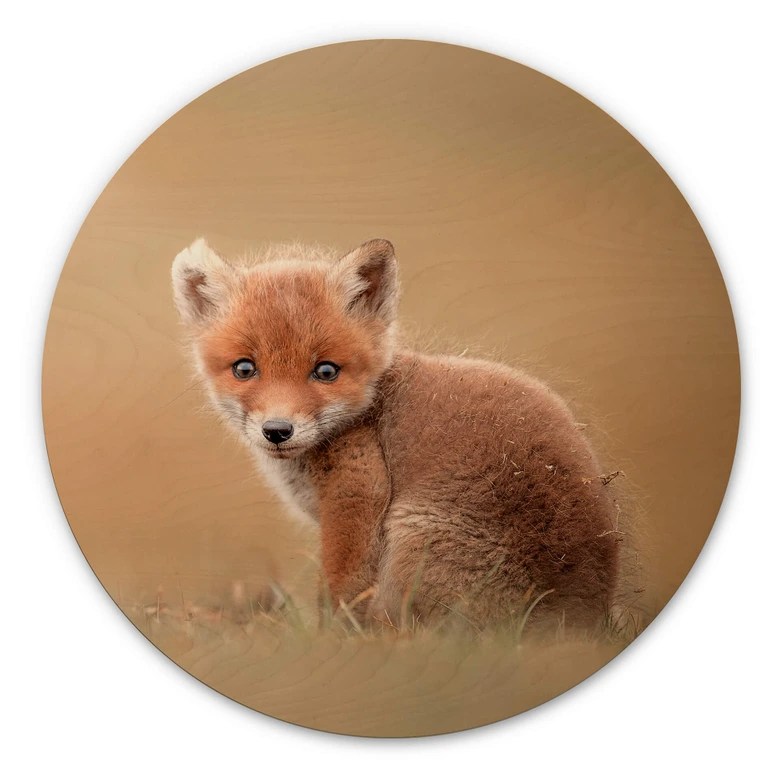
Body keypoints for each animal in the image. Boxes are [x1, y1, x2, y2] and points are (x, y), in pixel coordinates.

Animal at [172, 237, 622, 631]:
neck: (368, 410)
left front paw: (330, 644)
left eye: (326, 371)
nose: (278, 431)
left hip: (412, 538)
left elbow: (341, 592)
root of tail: (582, 617)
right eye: (245, 369)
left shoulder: (358, 493)